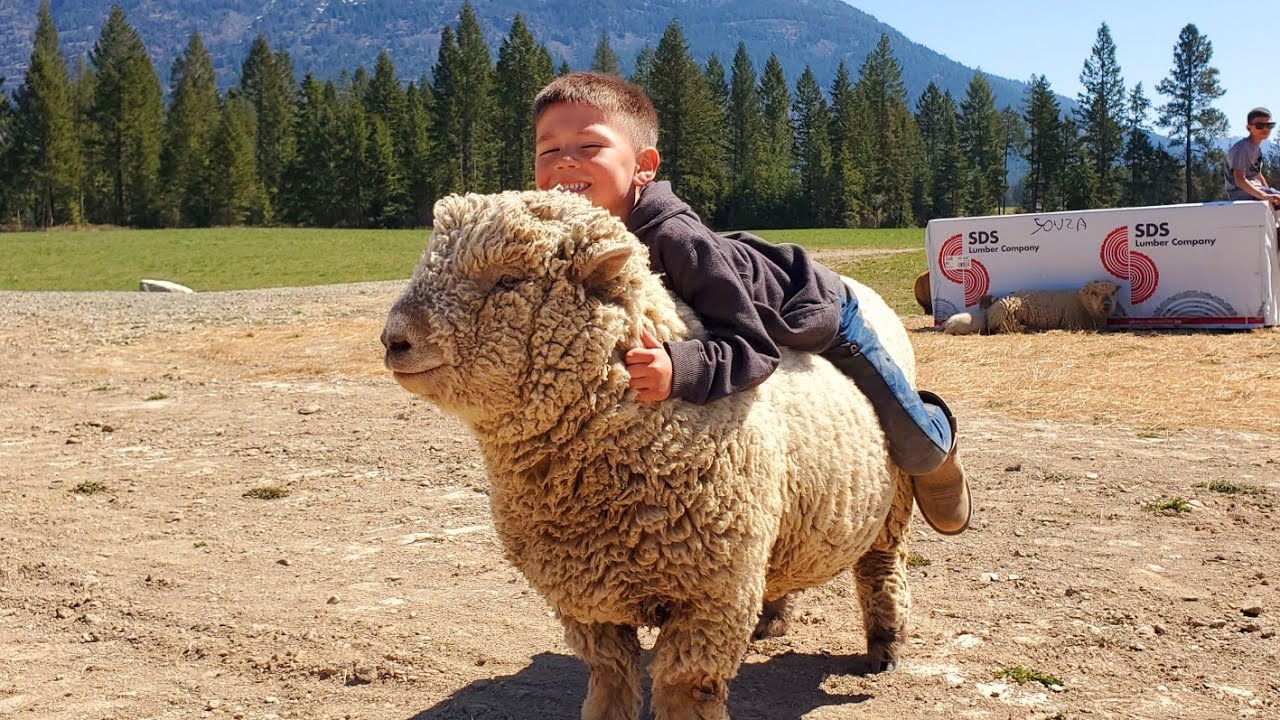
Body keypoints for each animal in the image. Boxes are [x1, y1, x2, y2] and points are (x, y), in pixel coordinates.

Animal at [381, 190, 915, 720]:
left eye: (509, 279)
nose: (393, 339)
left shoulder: (712, 598)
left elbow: (683, 687)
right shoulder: (585, 598)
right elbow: (610, 675)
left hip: (890, 509)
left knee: (881, 571)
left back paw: (883, 647)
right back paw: (773, 618)